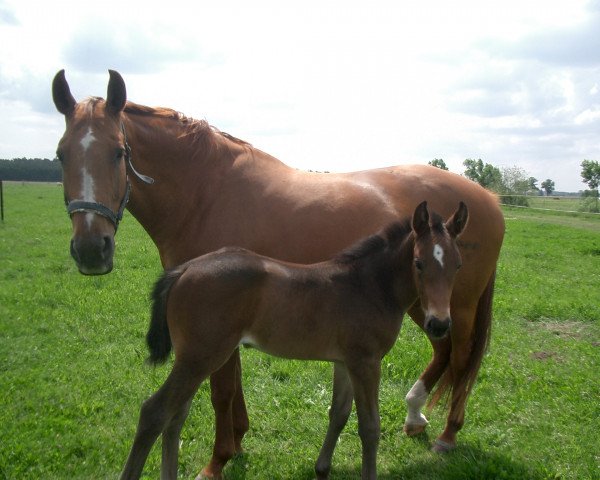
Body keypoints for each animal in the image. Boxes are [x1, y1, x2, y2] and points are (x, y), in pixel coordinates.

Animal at [122, 201, 468, 478]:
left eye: (457, 265)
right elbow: (370, 426)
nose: (439, 324)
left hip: (195, 358)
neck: (368, 286)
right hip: (201, 356)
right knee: (154, 412)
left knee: (175, 416)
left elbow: (338, 413)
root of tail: (185, 269)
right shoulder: (366, 362)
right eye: (419, 263)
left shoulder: (344, 362)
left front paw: (322, 468)